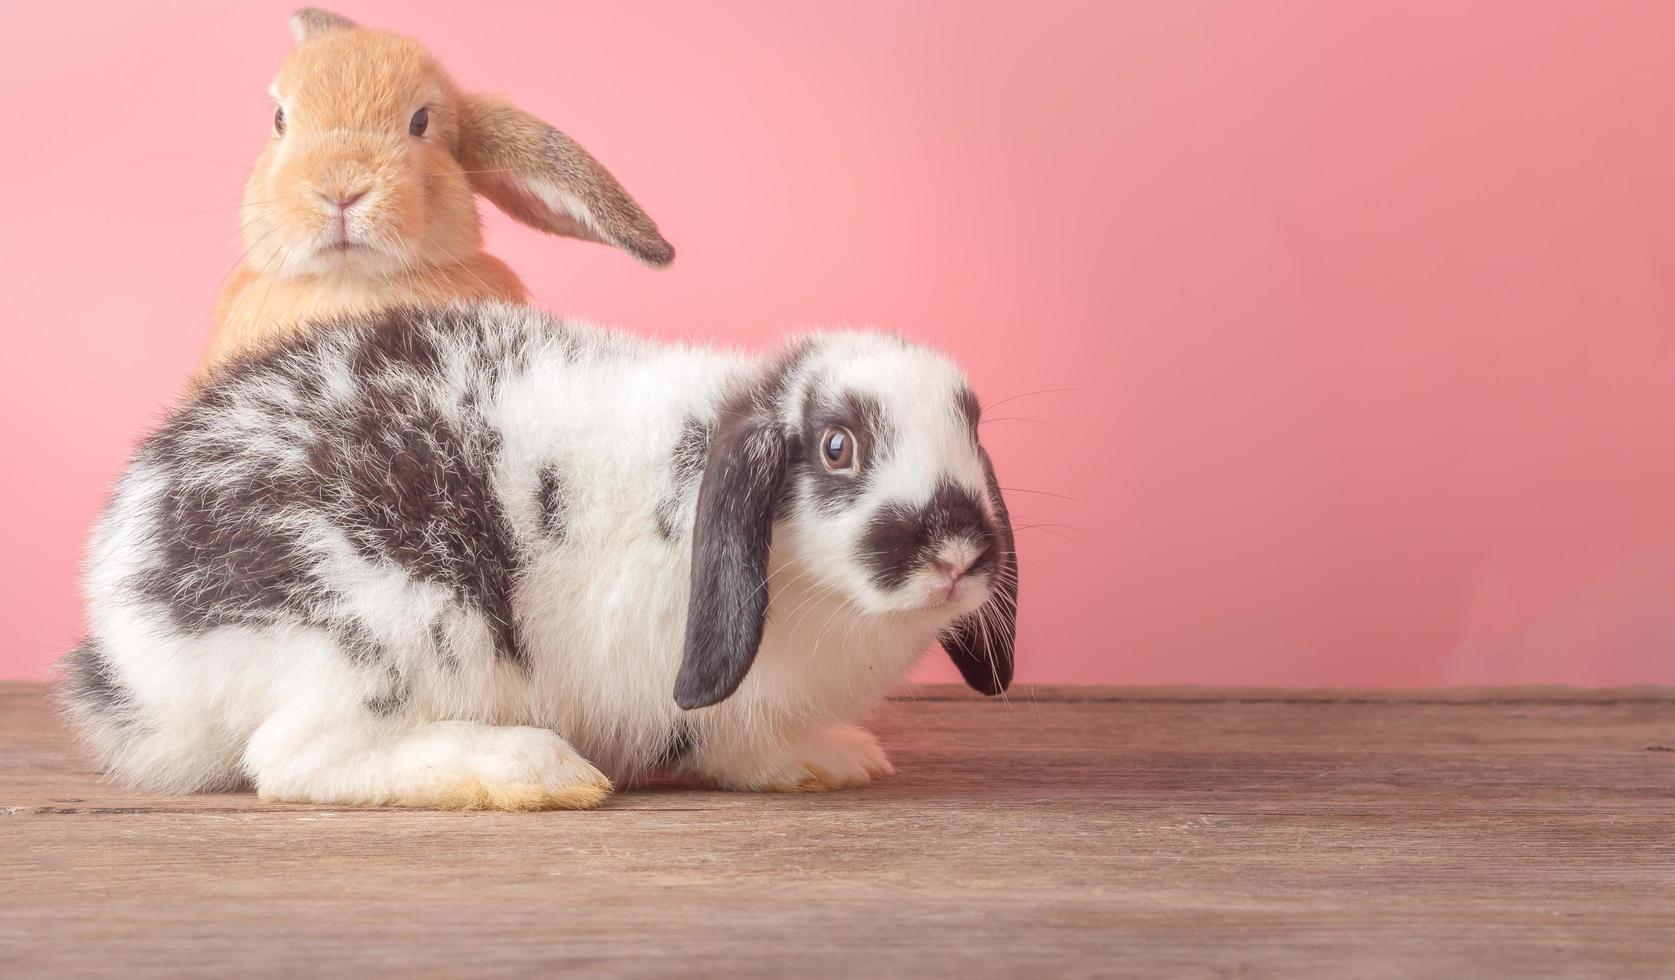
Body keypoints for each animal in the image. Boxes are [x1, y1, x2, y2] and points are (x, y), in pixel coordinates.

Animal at [59, 304, 1011, 810]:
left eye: (972, 425)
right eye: (837, 447)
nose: (957, 550)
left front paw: (832, 758)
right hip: (390, 622)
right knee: (296, 758)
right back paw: (532, 771)